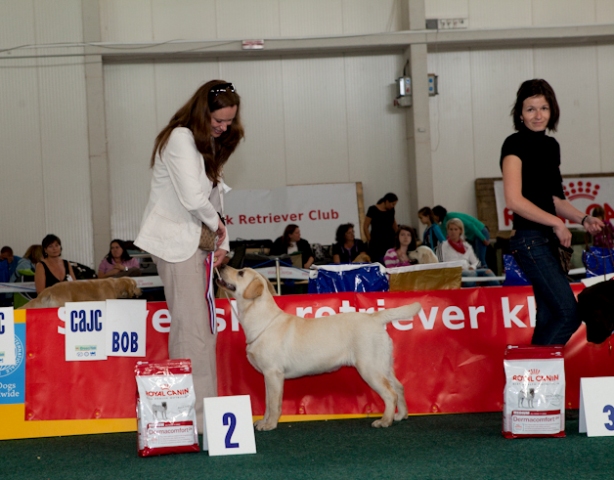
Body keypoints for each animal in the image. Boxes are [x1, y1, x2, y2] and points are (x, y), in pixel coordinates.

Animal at [216, 266, 422, 431]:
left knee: (390, 394)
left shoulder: (273, 373)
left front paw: (270, 425)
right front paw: (264, 421)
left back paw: (385, 420)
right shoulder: (268, 377)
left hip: (370, 369)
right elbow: (267, 403)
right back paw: (400, 415)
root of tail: (374, 318)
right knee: (399, 387)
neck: (261, 319)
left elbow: (274, 404)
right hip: (383, 366)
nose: (223, 265)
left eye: (241, 273)